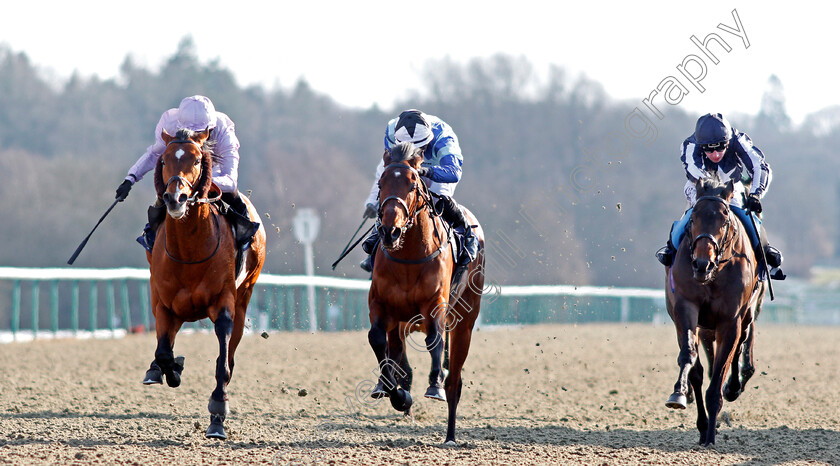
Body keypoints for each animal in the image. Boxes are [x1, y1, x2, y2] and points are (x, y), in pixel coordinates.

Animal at [141, 128, 266, 440]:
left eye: (197, 159)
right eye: (163, 160)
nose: (176, 198)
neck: (189, 252)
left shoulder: (223, 303)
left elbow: (222, 361)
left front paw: (218, 413)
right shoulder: (164, 304)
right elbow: (163, 353)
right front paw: (172, 369)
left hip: (245, 296)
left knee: (230, 354)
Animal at [370, 141, 486, 444]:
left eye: (413, 184)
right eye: (381, 182)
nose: (390, 231)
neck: (409, 255)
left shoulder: (435, 304)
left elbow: (435, 340)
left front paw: (434, 386)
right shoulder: (382, 307)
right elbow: (380, 344)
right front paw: (397, 395)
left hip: (465, 320)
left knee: (455, 379)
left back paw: (450, 435)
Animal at [668, 177, 764, 446]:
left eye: (724, 220)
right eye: (692, 219)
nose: (702, 264)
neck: (715, 274)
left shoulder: (730, 321)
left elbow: (719, 375)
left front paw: (710, 435)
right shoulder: (686, 308)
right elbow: (691, 361)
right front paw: (679, 394)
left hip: (747, 314)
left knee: (741, 347)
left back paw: (733, 387)